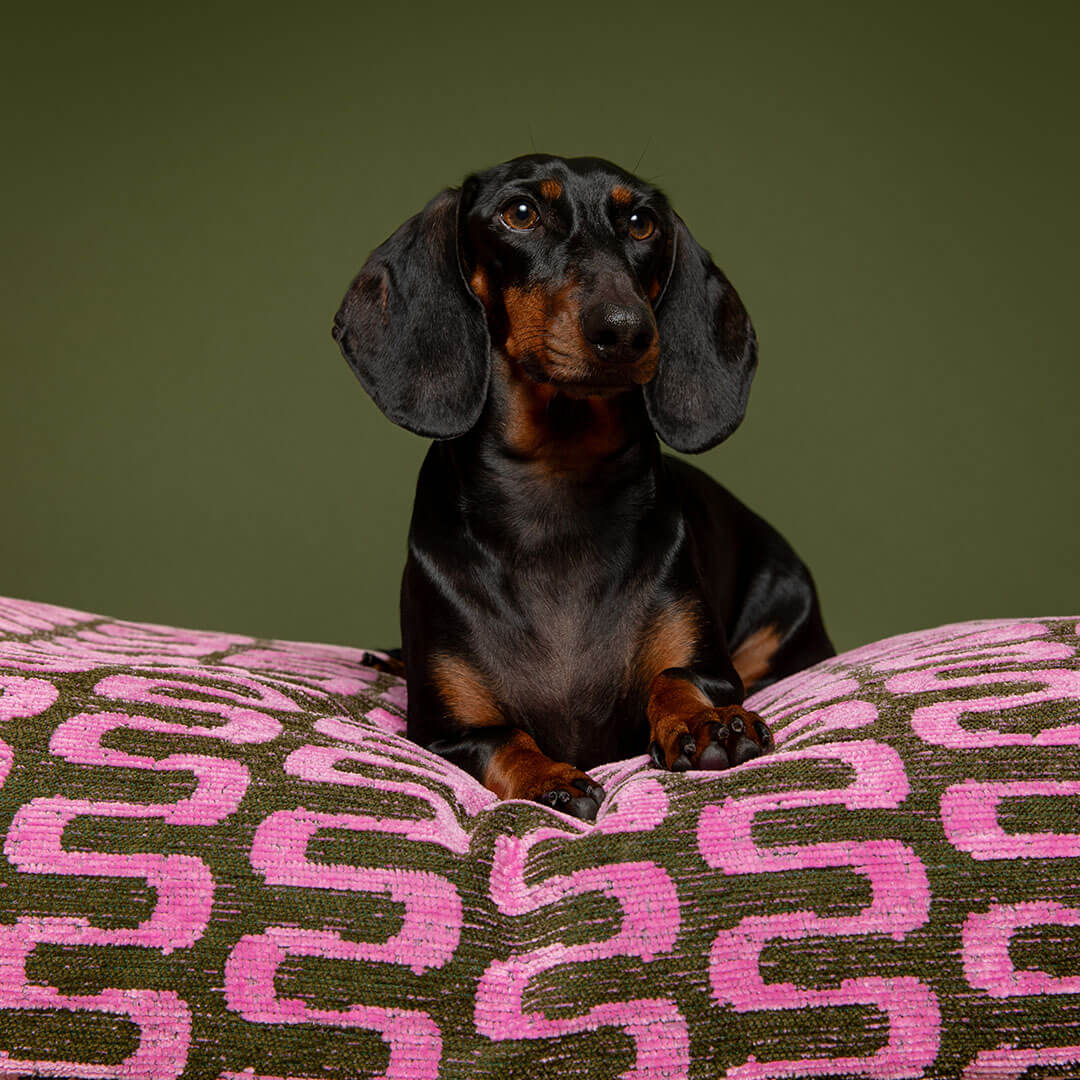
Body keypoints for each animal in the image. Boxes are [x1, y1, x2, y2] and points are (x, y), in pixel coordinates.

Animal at [332, 154, 829, 816]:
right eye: (520, 213)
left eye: (642, 223)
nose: (625, 330)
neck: (557, 482)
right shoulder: (445, 734)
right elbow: (506, 740)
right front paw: (551, 779)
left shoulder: (715, 670)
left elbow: (675, 678)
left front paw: (705, 722)